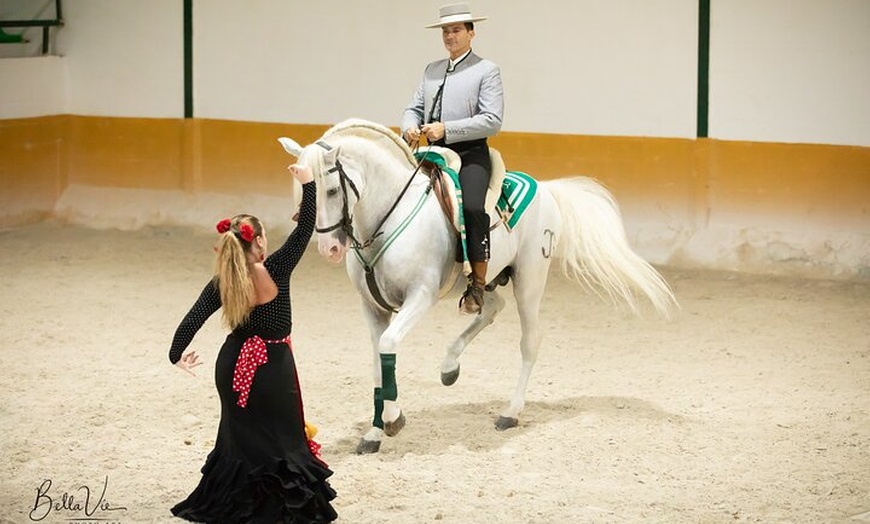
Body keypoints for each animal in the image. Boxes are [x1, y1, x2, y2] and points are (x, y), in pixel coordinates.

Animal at [282, 118, 676, 454]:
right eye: (303, 190)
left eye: (333, 189)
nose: (329, 249)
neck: (389, 217)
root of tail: (546, 189)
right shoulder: (372, 307)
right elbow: (379, 361)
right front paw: (375, 433)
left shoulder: (420, 297)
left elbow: (388, 344)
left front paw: (393, 421)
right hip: (485, 281)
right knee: (489, 308)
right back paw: (449, 367)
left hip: (529, 280)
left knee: (530, 341)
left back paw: (510, 413)